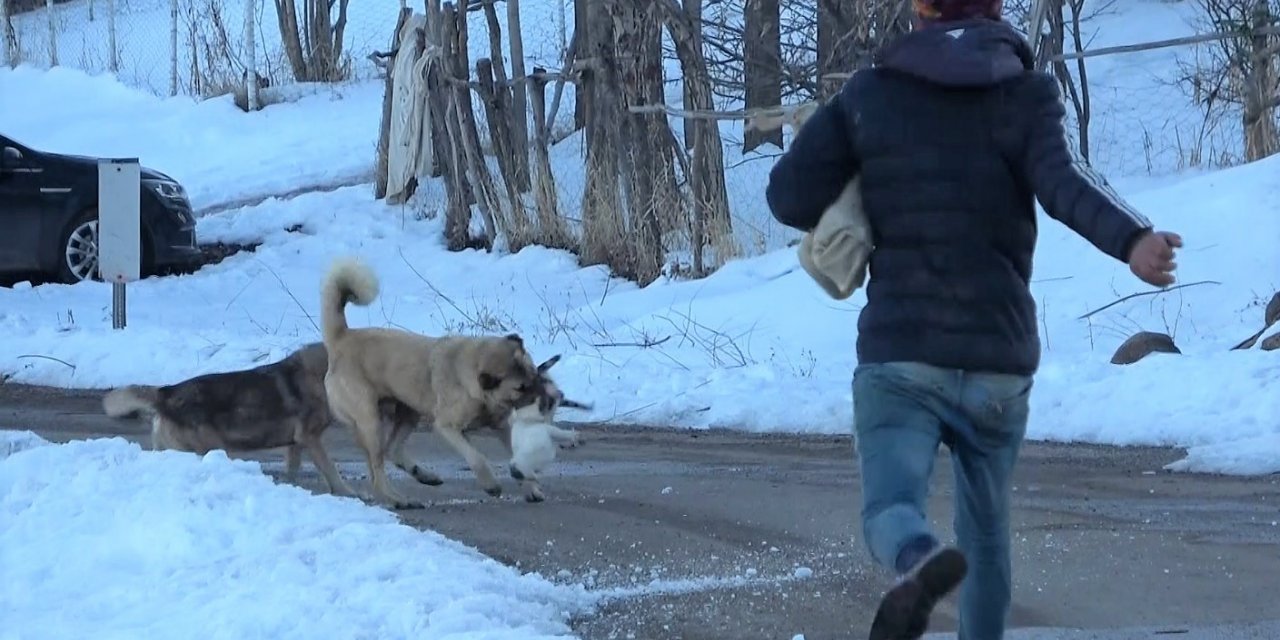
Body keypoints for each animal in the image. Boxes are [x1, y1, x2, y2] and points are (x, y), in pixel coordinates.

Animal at [322, 257, 547, 506]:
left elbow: (518, 458)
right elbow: (476, 457)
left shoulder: (501, 426)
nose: (547, 399)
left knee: (392, 451)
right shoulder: (447, 428)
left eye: (535, 374)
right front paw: (491, 484)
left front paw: (531, 489)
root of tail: (341, 337)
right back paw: (398, 498)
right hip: (371, 422)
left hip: (408, 413)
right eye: (520, 388)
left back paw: (424, 476)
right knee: (377, 470)